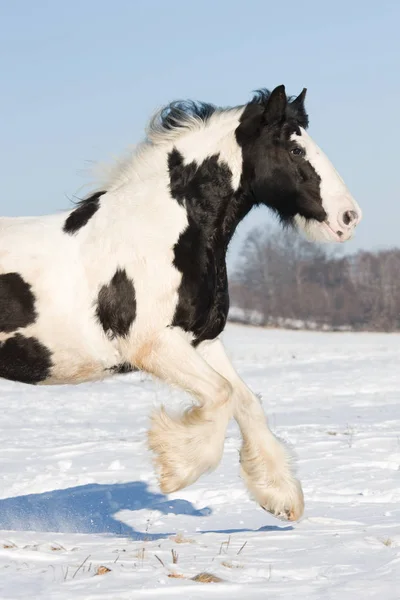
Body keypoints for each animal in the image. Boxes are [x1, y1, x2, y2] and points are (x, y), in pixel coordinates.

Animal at [0, 84, 360, 520]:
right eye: (294, 149)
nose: (349, 217)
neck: (161, 231)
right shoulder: (155, 346)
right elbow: (221, 395)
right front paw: (175, 471)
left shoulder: (201, 340)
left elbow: (245, 400)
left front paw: (281, 497)